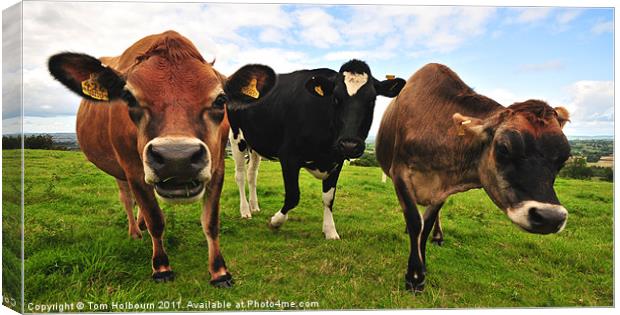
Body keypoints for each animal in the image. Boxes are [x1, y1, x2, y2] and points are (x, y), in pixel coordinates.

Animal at [46, 31, 235, 286]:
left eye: (220, 99)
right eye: (128, 97)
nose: (178, 158)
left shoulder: (218, 166)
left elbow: (211, 222)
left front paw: (219, 272)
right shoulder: (132, 168)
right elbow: (155, 219)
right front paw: (161, 267)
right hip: (119, 170)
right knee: (127, 198)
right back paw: (135, 231)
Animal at [225, 59, 404, 239]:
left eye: (371, 100)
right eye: (336, 98)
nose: (349, 145)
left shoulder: (337, 161)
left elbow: (329, 198)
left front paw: (330, 230)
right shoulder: (288, 156)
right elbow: (293, 196)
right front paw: (275, 221)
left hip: (255, 144)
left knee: (252, 174)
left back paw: (254, 206)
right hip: (236, 138)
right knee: (240, 175)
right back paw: (245, 211)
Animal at [376, 63, 568, 294]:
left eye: (565, 157)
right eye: (504, 148)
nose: (550, 218)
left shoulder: (442, 187)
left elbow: (427, 224)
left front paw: (422, 269)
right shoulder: (400, 173)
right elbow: (414, 221)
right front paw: (414, 277)